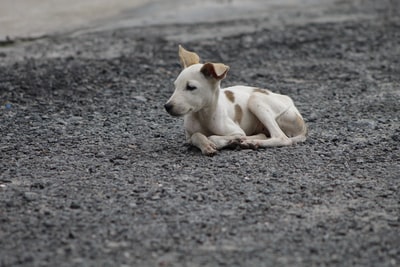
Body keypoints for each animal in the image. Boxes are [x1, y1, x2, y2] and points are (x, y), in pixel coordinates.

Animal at [164, 45, 308, 156]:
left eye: (191, 87)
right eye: (175, 86)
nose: (167, 106)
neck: (202, 115)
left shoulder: (236, 130)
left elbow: (214, 137)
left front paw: (218, 142)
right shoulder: (189, 136)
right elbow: (196, 135)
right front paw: (206, 145)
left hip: (255, 99)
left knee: (281, 137)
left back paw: (252, 142)